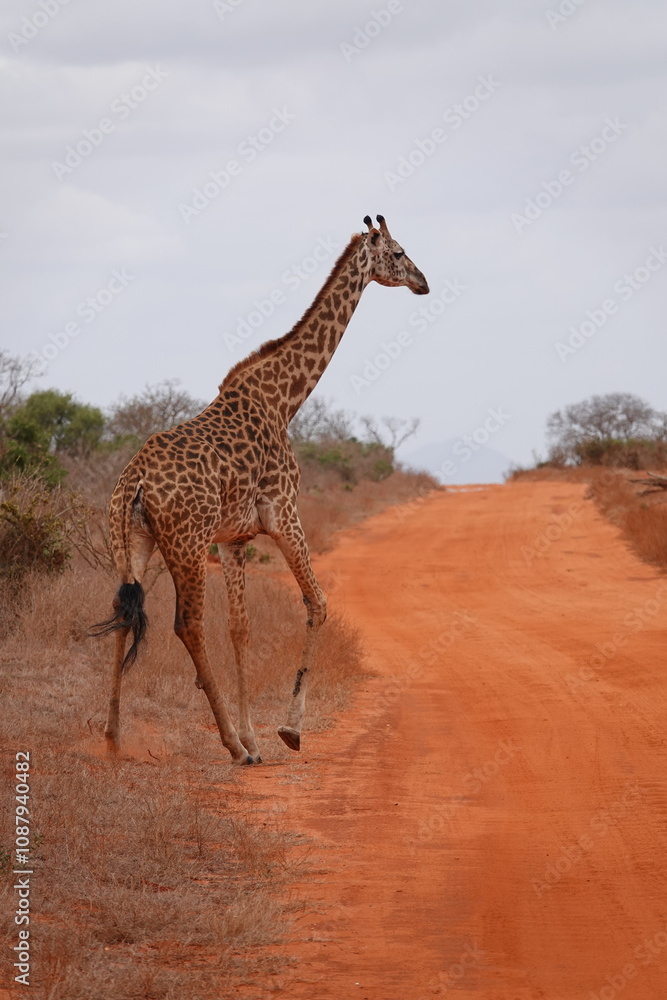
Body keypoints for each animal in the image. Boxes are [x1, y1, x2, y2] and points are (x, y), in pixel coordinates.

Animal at [92, 215, 429, 765]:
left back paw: (114, 736)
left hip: (131, 541)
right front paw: (286, 732)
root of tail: (136, 482)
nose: (424, 282)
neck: (285, 399)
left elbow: (241, 628)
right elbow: (317, 605)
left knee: (123, 612)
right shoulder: (283, 513)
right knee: (187, 624)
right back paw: (230, 745)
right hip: (186, 544)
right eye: (398, 252)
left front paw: (255, 734)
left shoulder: (234, 539)